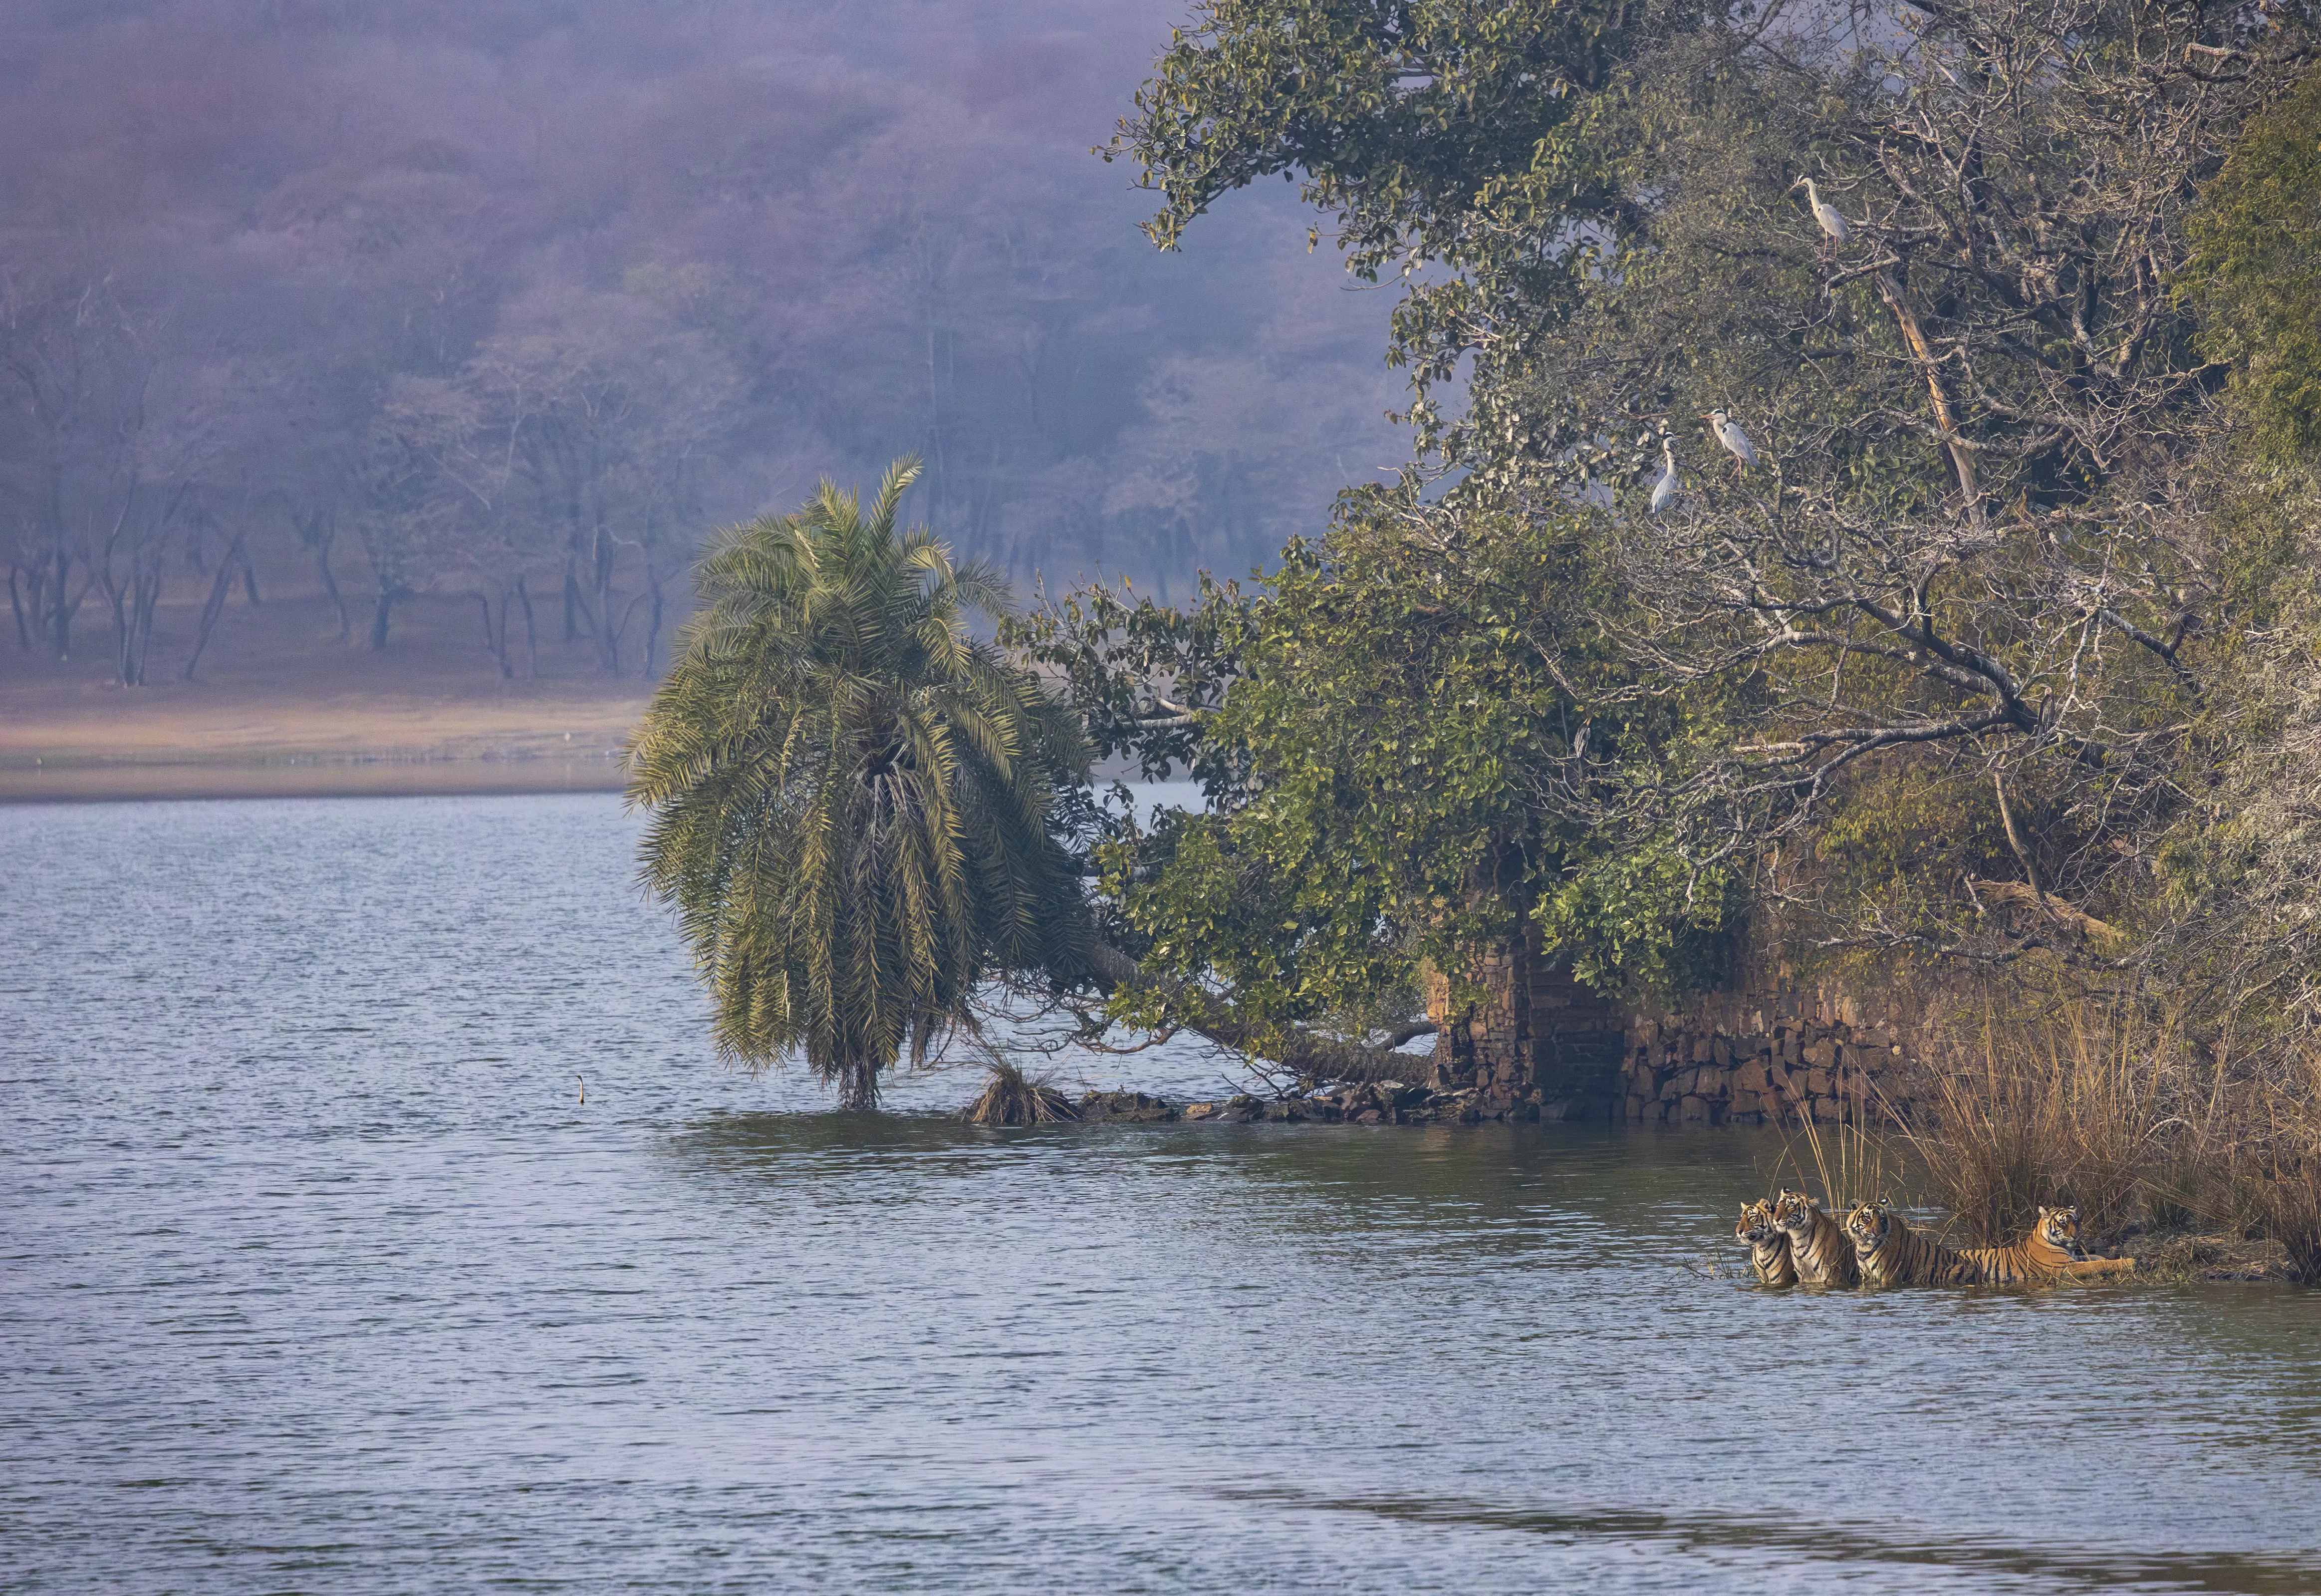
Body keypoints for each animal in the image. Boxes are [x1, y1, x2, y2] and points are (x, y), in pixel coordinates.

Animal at [1735, 1199, 1798, 1286]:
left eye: (1752, 1217)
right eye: (1742, 1218)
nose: (1738, 1231)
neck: (1762, 1247)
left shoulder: (1781, 1278)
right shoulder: (1763, 1279)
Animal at [1771, 1188, 1859, 1287]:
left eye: (1790, 1206)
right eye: (1778, 1206)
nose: (1775, 1219)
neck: (1798, 1237)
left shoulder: (1831, 1275)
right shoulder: (1804, 1275)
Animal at [1843, 1201, 1985, 1287]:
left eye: (1882, 1219)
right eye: (1867, 1218)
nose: (1877, 1234)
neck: (1864, 1245)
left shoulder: (1889, 1275)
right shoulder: (1866, 1276)